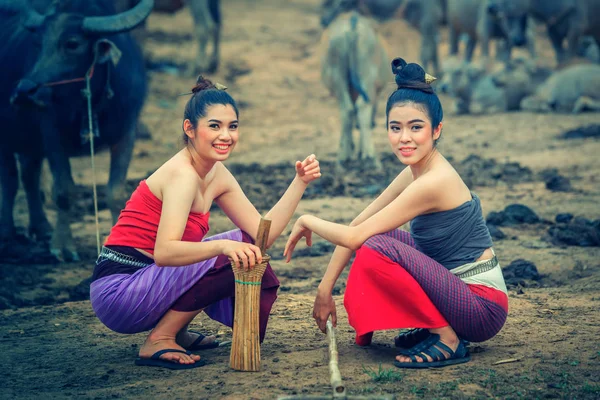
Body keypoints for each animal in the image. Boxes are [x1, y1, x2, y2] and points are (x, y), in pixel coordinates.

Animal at [0, 0, 154, 260]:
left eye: (72, 44)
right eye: (38, 43)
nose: (23, 91)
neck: (88, 104)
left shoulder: (126, 133)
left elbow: (116, 192)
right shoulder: (51, 135)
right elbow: (64, 191)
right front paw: (62, 246)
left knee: (29, 176)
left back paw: (42, 228)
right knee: (10, 181)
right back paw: (8, 234)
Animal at [318, 0, 390, 169]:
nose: (323, 19)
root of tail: (352, 26)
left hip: (340, 77)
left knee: (348, 110)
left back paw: (346, 157)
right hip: (366, 79)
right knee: (360, 109)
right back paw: (369, 157)